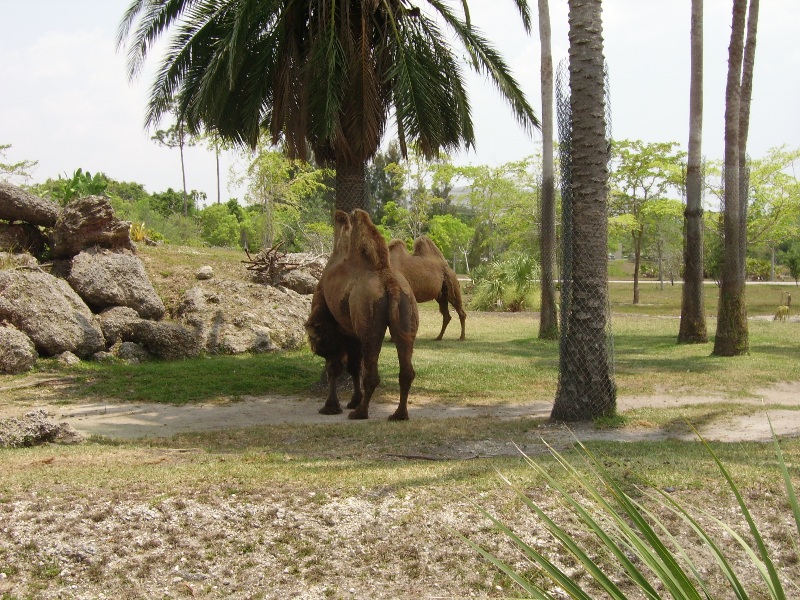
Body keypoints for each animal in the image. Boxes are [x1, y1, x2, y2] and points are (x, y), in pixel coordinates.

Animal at [305, 210, 418, 420]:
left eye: (314, 336)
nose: (316, 349)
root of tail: (389, 281)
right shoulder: (351, 332)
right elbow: (353, 366)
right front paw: (352, 401)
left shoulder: (333, 327)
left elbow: (335, 367)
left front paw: (330, 406)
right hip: (407, 309)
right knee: (405, 368)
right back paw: (399, 414)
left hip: (369, 319)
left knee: (371, 371)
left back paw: (360, 413)